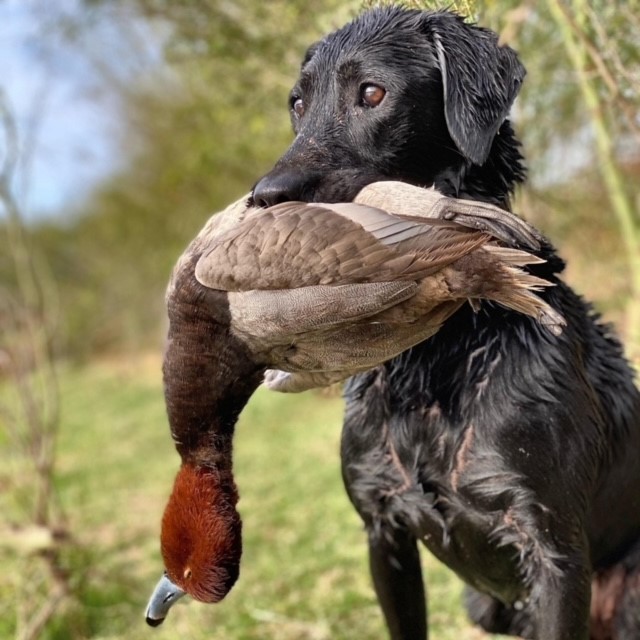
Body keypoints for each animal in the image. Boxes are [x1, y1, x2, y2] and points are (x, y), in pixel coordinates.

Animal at [252, 6, 640, 640]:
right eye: (297, 103)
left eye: (372, 93)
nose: (265, 199)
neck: (434, 365)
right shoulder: (382, 530)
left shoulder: (555, 551)